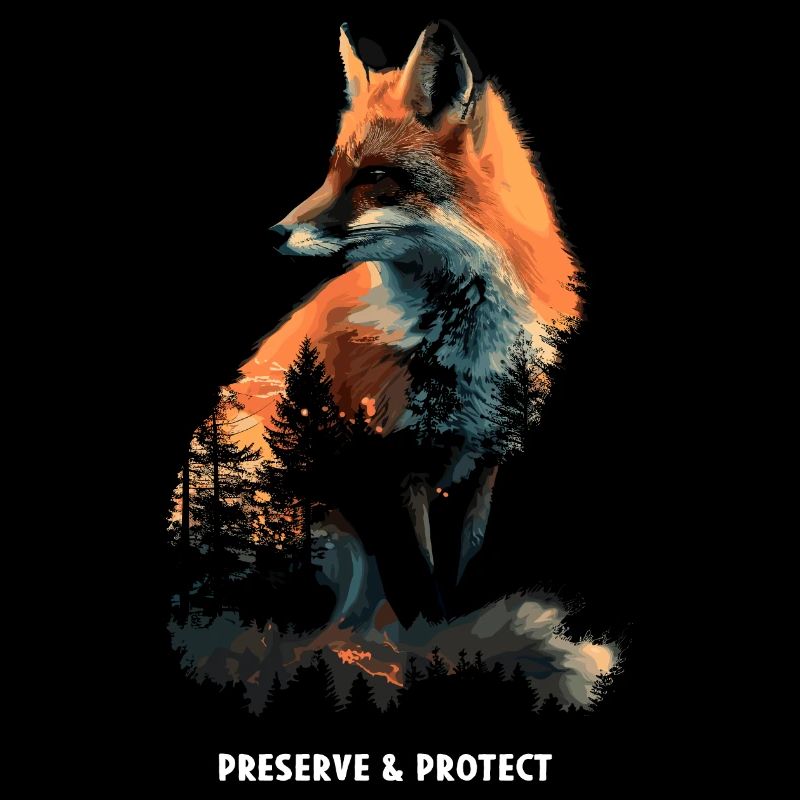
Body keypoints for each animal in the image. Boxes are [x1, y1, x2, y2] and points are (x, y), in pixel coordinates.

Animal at [257, 21, 580, 594]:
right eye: (332, 171)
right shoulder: (394, 463)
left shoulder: (488, 459)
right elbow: (421, 580)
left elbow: (464, 563)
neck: (464, 351)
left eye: (372, 176)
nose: (273, 234)